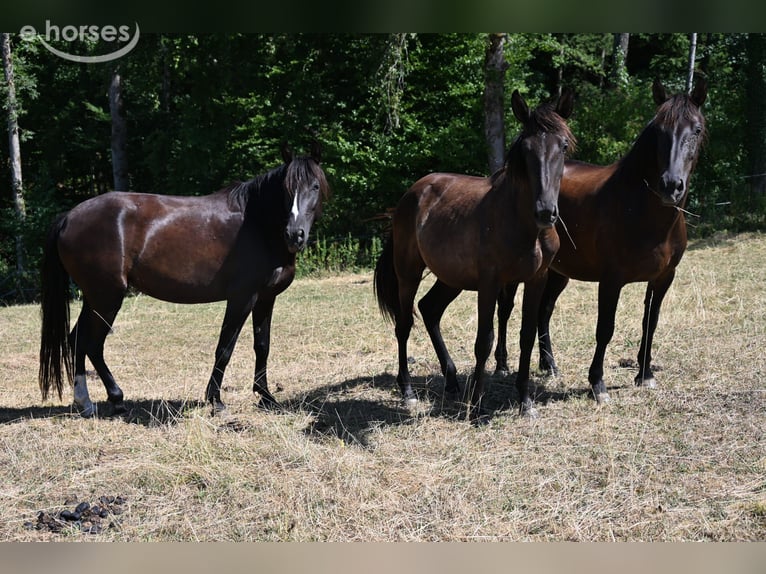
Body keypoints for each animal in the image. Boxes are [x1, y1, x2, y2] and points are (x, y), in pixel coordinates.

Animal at [39, 143, 329, 417]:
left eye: (314, 186)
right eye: (286, 189)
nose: (294, 235)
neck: (258, 224)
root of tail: (69, 217)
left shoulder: (266, 298)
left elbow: (262, 345)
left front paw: (266, 397)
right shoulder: (242, 298)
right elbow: (225, 347)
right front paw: (216, 401)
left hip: (95, 298)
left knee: (77, 339)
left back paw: (87, 403)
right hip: (107, 298)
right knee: (92, 343)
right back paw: (114, 398)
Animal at [374, 89, 575, 421]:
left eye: (564, 146)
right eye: (525, 149)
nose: (546, 212)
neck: (521, 225)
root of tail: (410, 196)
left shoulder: (536, 279)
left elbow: (527, 334)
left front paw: (525, 401)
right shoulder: (490, 283)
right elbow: (484, 340)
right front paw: (478, 405)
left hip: (450, 278)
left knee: (430, 309)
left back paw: (452, 380)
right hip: (408, 273)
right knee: (404, 325)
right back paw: (408, 392)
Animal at [494, 77, 708, 406]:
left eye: (695, 129)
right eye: (659, 131)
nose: (671, 186)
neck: (641, 209)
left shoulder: (663, 278)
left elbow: (650, 322)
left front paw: (645, 374)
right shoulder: (611, 280)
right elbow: (605, 328)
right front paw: (598, 383)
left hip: (559, 272)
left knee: (544, 311)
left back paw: (549, 365)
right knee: (505, 309)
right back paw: (502, 365)